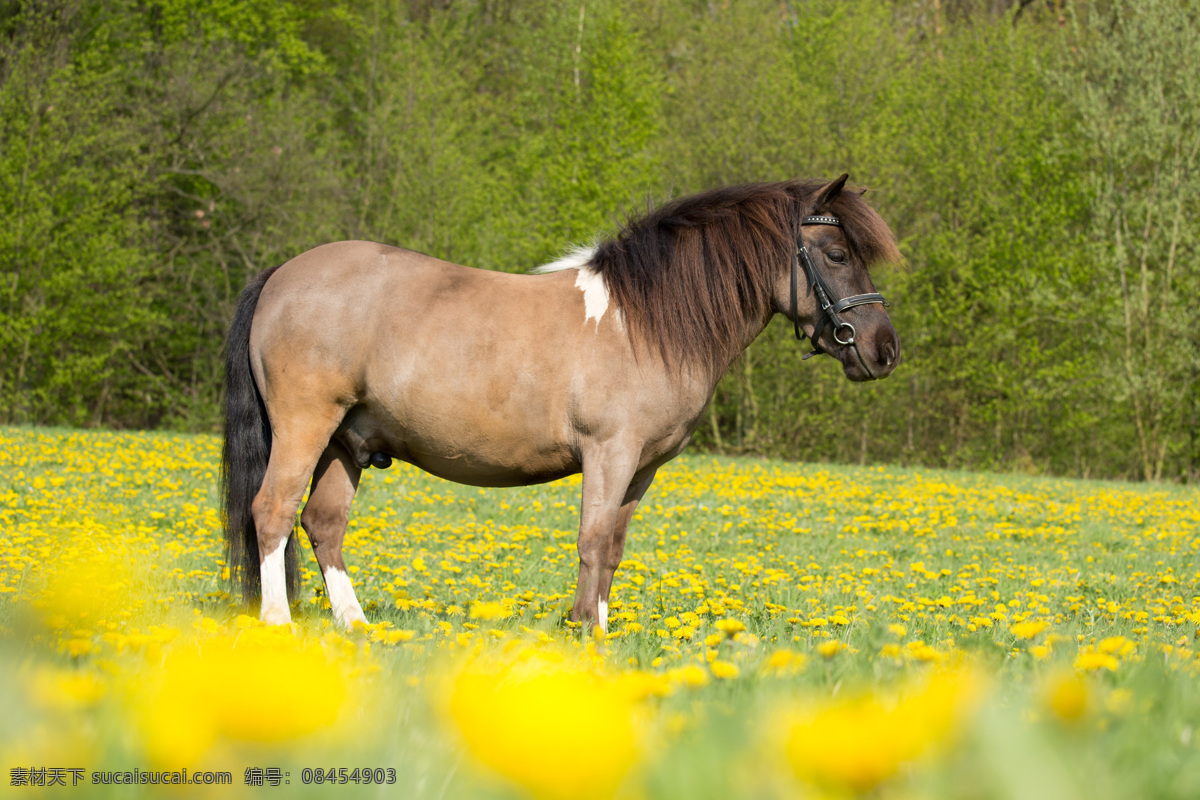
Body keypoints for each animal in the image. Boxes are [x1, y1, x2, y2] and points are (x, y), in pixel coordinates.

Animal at [223, 175, 902, 633]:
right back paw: (279, 625)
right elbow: (593, 540)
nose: (885, 350)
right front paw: (587, 635)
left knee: (323, 524)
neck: (641, 322)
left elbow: (615, 547)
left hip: (347, 441)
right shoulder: (609, 453)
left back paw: (357, 627)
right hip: (307, 426)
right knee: (272, 511)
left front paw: (591, 627)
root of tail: (282, 273)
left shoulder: (642, 468)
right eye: (837, 255)